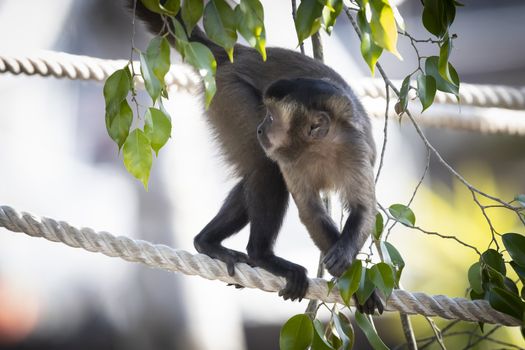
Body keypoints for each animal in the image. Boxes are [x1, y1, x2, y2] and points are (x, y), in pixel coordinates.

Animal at [130, 1, 384, 314]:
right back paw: (259, 256)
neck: (319, 147)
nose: (262, 127)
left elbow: (363, 209)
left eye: (272, 117)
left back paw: (207, 243)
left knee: (256, 171)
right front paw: (357, 283)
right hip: (227, 93)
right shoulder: (288, 158)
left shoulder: (355, 148)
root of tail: (237, 53)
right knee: (265, 168)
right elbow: (310, 212)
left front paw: (348, 262)